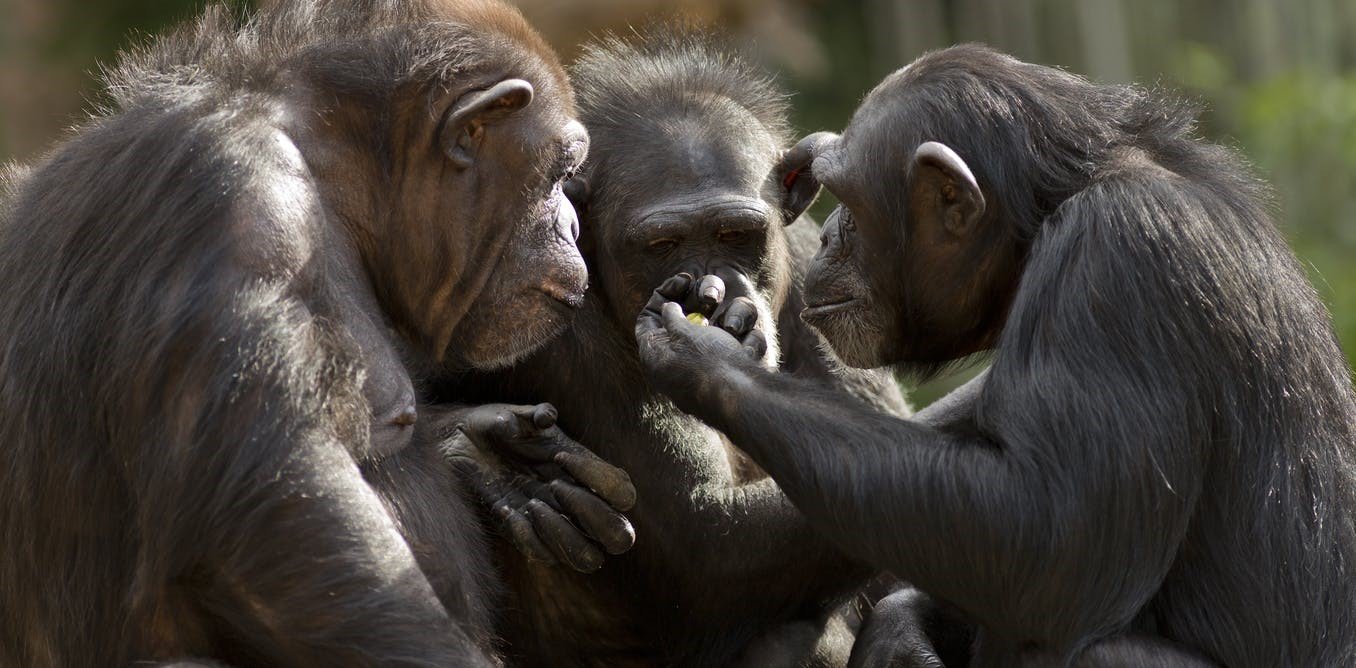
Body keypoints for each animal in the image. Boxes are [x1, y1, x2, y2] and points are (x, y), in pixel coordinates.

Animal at [0, 2, 634, 663]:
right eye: (561, 173)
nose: (572, 222)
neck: (330, 176)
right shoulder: (238, 207)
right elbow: (283, 519)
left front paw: (488, 454)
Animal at [439, 32, 911, 666]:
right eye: (662, 244)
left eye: (737, 235)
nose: (712, 290)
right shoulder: (554, 328)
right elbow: (704, 541)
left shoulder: (822, 268)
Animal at [634, 44, 1356, 663]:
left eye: (849, 201)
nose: (830, 233)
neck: (1046, 216)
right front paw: (901, 632)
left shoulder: (1119, 262)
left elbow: (1050, 538)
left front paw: (708, 357)